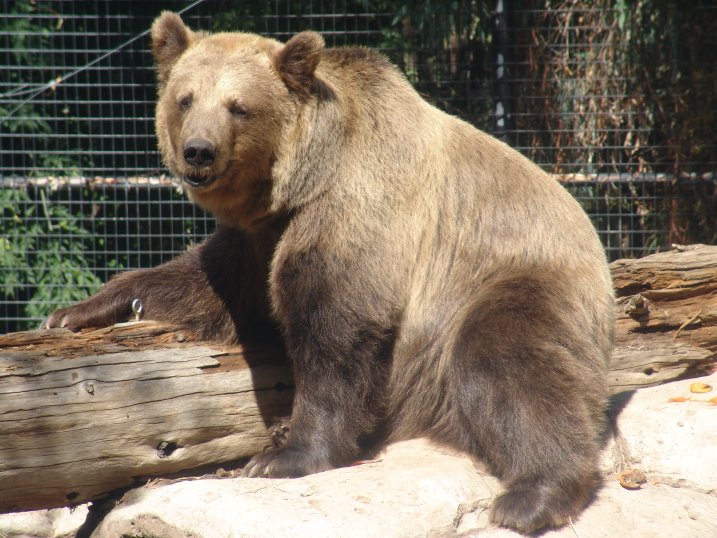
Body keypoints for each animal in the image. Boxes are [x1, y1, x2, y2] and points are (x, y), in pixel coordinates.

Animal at [46, 11, 615, 534]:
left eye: (239, 107)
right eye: (185, 98)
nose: (199, 152)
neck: (296, 182)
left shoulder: (356, 206)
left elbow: (336, 327)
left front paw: (286, 455)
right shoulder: (259, 236)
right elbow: (214, 286)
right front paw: (81, 310)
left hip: (511, 277)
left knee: (508, 361)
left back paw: (534, 494)